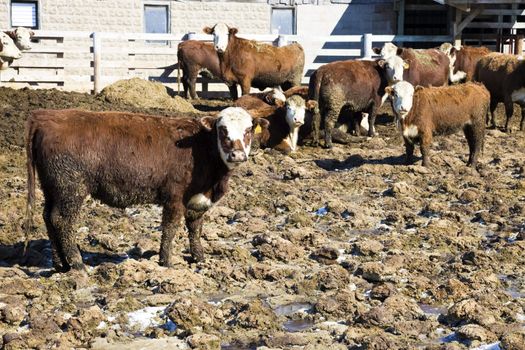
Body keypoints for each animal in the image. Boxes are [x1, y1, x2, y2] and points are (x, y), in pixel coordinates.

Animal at [26, 106, 268, 270]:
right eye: (222, 130)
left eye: (248, 130)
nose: (237, 154)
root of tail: (46, 118)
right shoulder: (175, 197)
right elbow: (170, 229)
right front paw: (166, 262)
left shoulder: (198, 199)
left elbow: (195, 228)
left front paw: (199, 258)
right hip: (71, 188)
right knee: (62, 220)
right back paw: (77, 264)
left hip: (52, 187)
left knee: (48, 217)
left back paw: (60, 264)